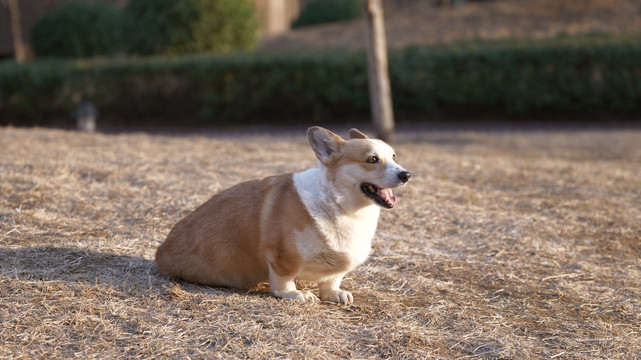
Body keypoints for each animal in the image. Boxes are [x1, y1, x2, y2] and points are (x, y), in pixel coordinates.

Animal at [155, 126, 410, 304]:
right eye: (372, 159)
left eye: (394, 157)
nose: (406, 175)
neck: (340, 206)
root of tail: (161, 250)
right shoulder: (281, 257)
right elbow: (283, 283)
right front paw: (297, 295)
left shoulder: (335, 269)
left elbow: (332, 279)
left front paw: (334, 293)